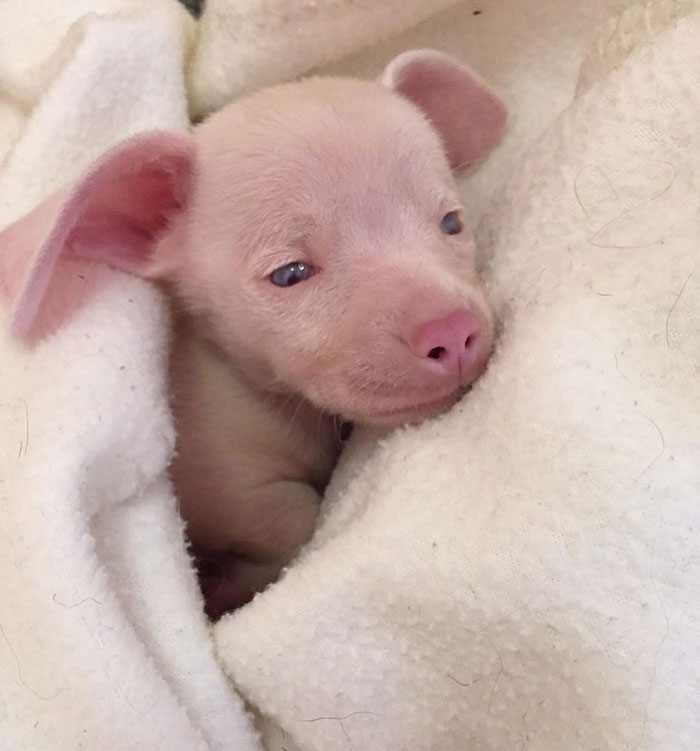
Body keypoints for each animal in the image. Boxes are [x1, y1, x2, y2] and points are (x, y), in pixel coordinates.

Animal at [0, 50, 506, 618]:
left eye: (451, 223)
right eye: (289, 273)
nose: (454, 332)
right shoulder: (218, 474)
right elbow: (294, 514)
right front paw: (225, 589)